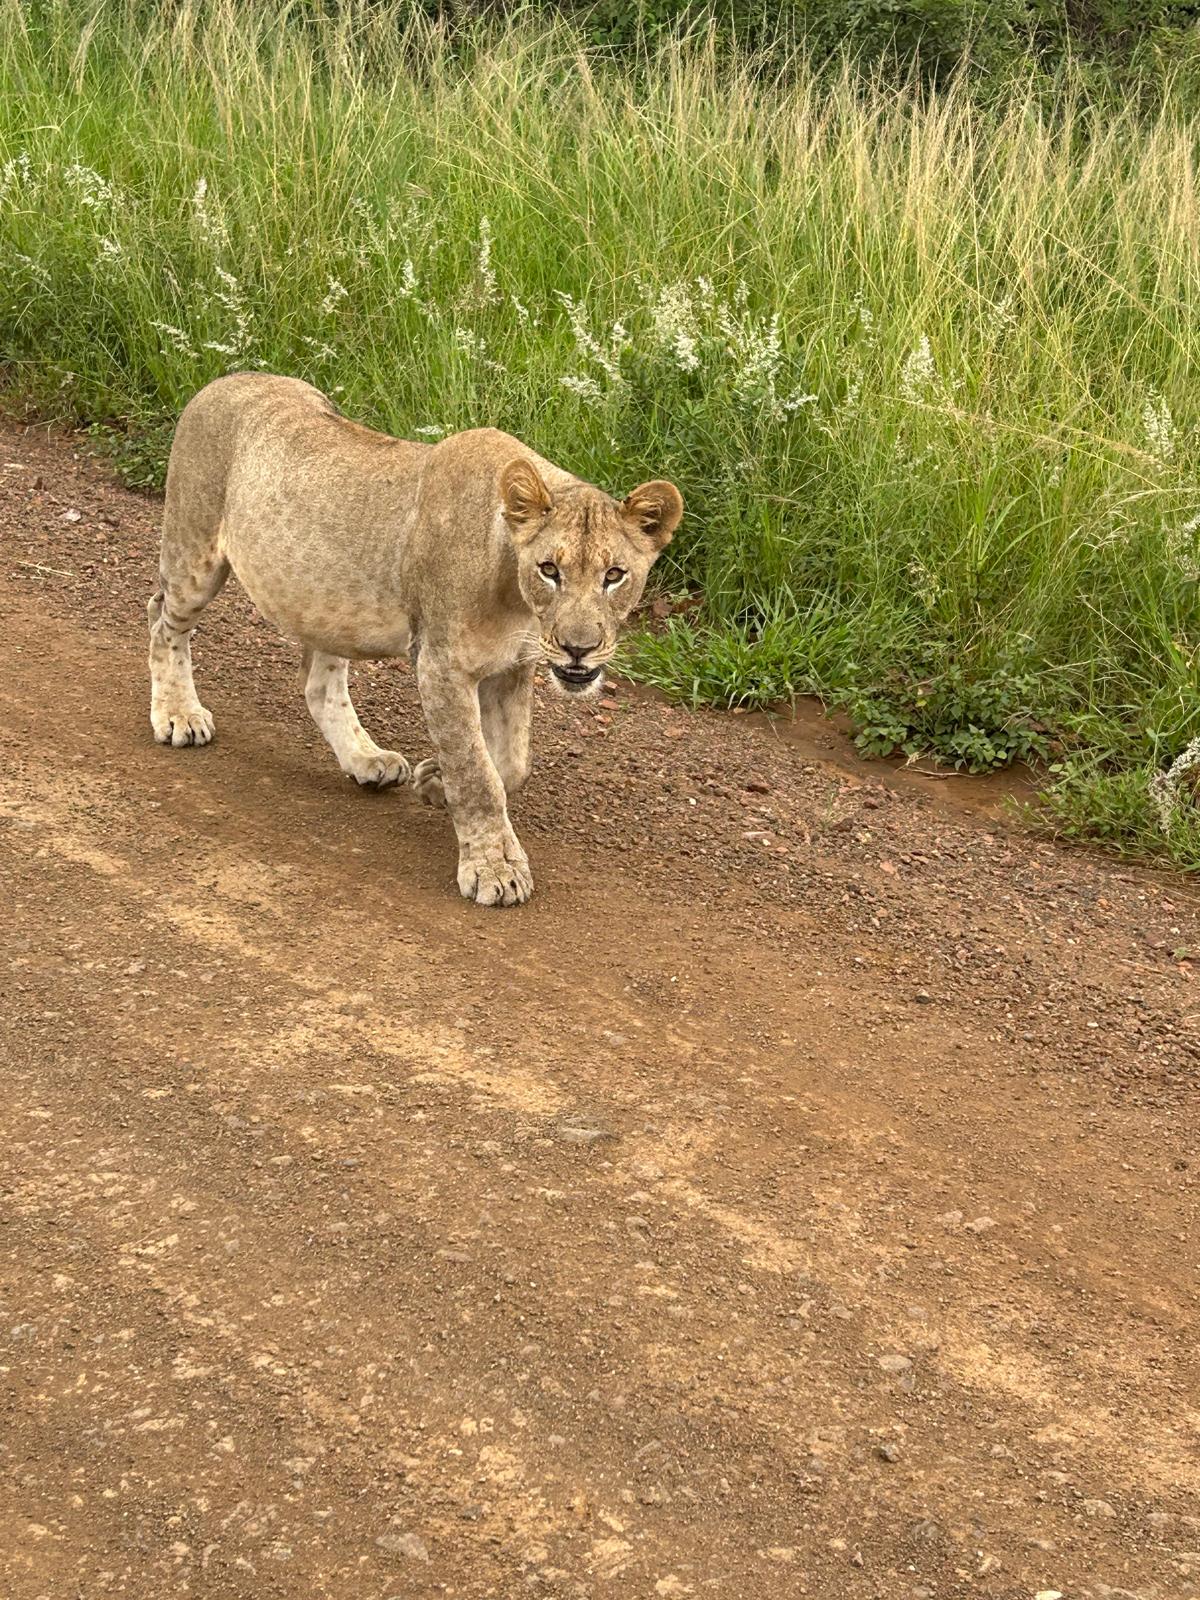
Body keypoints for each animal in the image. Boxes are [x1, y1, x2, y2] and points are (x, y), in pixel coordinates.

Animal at [147, 373, 682, 906]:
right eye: (549, 570)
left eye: (614, 575)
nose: (578, 648)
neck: (514, 595)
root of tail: (223, 379)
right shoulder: (440, 666)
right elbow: (477, 771)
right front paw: (494, 868)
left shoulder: (513, 666)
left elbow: (510, 764)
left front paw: (435, 783)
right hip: (194, 552)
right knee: (162, 620)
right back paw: (178, 715)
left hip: (326, 605)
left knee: (320, 683)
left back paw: (365, 759)